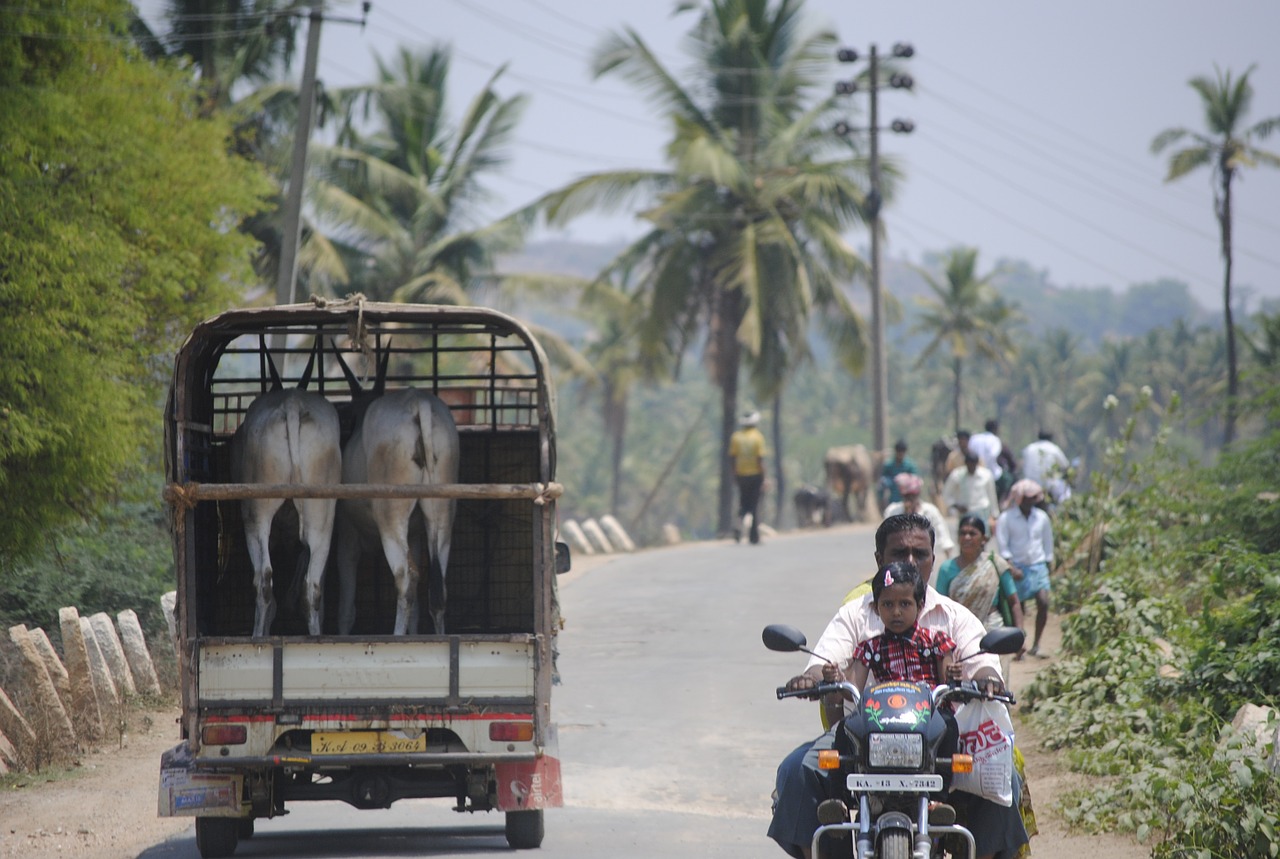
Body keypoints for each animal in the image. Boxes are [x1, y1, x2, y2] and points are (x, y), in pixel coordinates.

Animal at [229, 345, 340, 637]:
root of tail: (292, 403)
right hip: (321, 518)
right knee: (311, 587)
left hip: (256, 516)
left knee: (264, 580)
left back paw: (258, 635)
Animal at [335, 350, 460, 637]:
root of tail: (418, 404)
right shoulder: (414, 535)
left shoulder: (346, 537)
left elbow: (346, 611)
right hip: (441, 516)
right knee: (438, 586)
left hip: (390, 517)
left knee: (406, 576)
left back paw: (395, 637)